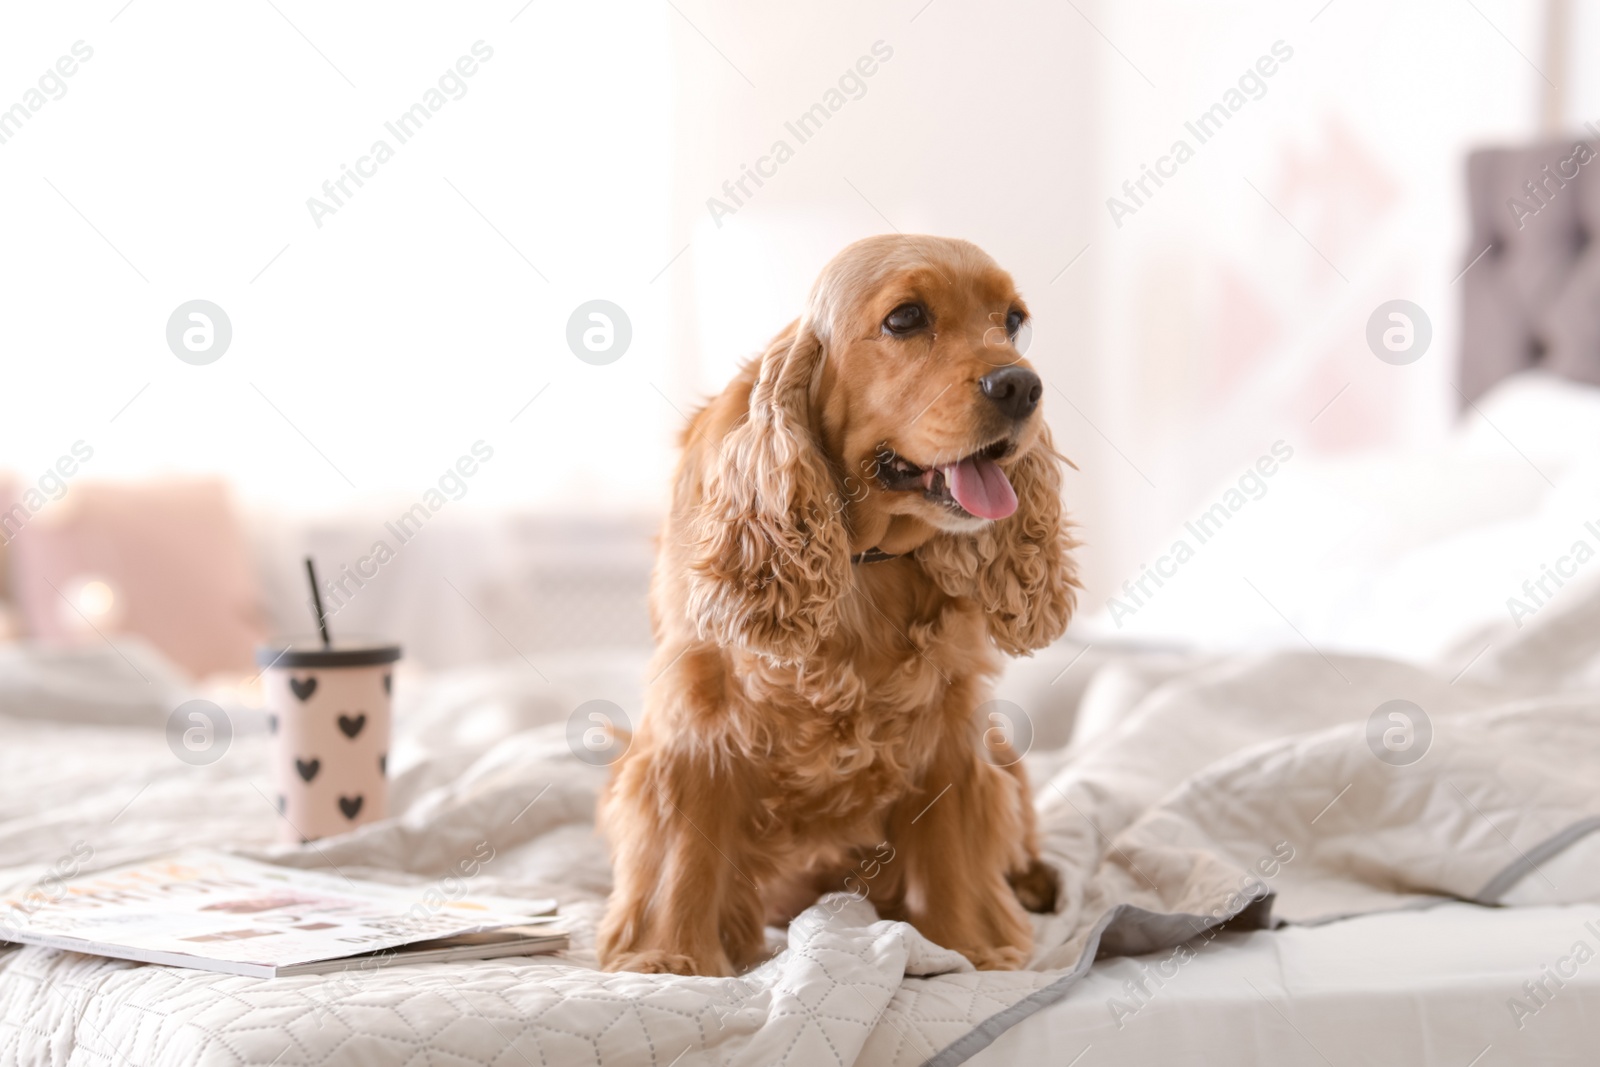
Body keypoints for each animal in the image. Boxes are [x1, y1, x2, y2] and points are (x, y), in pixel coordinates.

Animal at [598, 233, 1075, 979]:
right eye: (906, 318)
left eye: (1014, 322)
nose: (1022, 386)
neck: (861, 561)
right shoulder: (698, 710)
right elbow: (685, 849)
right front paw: (670, 959)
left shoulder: (950, 720)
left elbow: (951, 846)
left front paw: (968, 948)